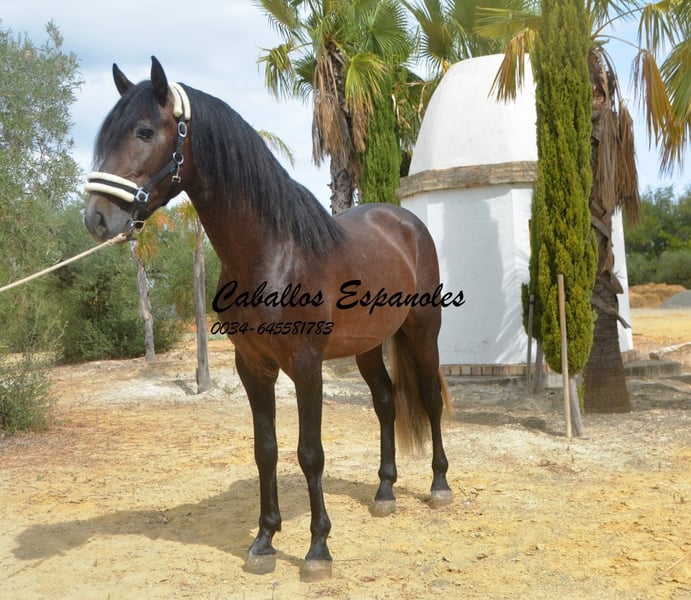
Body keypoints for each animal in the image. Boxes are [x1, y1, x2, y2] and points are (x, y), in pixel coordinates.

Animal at [84, 56, 454, 581]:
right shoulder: (252, 366)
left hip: (422, 331)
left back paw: (439, 486)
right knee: (385, 402)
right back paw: (384, 492)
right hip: (366, 346)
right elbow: (267, 450)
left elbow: (309, 453)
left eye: (144, 131)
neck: (274, 253)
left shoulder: (306, 366)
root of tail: (406, 222)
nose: (96, 218)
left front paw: (318, 549)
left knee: (430, 398)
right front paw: (264, 541)